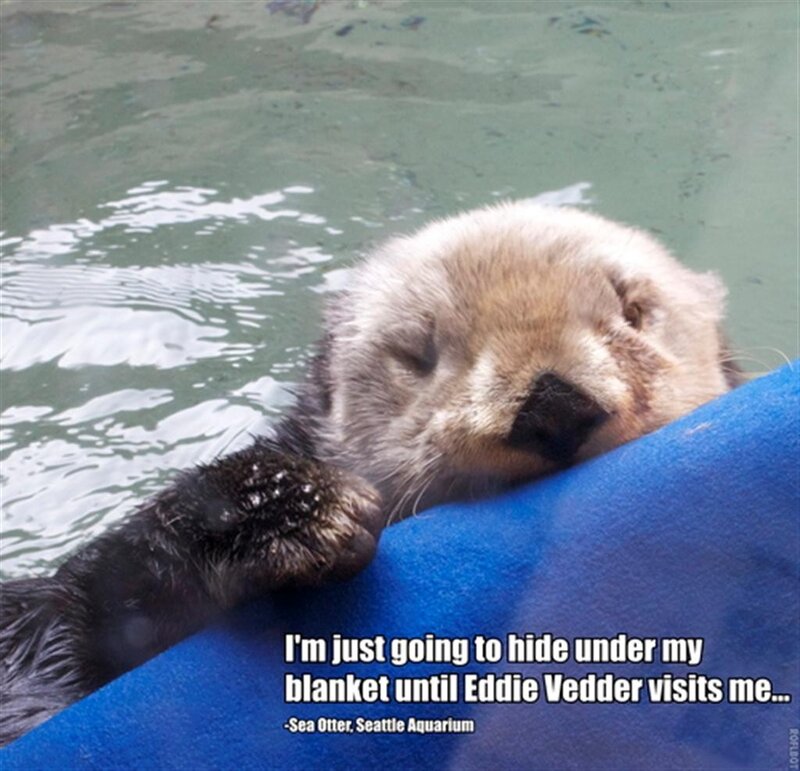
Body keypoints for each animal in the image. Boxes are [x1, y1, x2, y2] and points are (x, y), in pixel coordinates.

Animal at [0, 202, 741, 745]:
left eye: (633, 312)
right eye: (417, 351)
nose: (553, 405)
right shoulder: (72, 629)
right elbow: (88, 609)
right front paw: (290, 510)